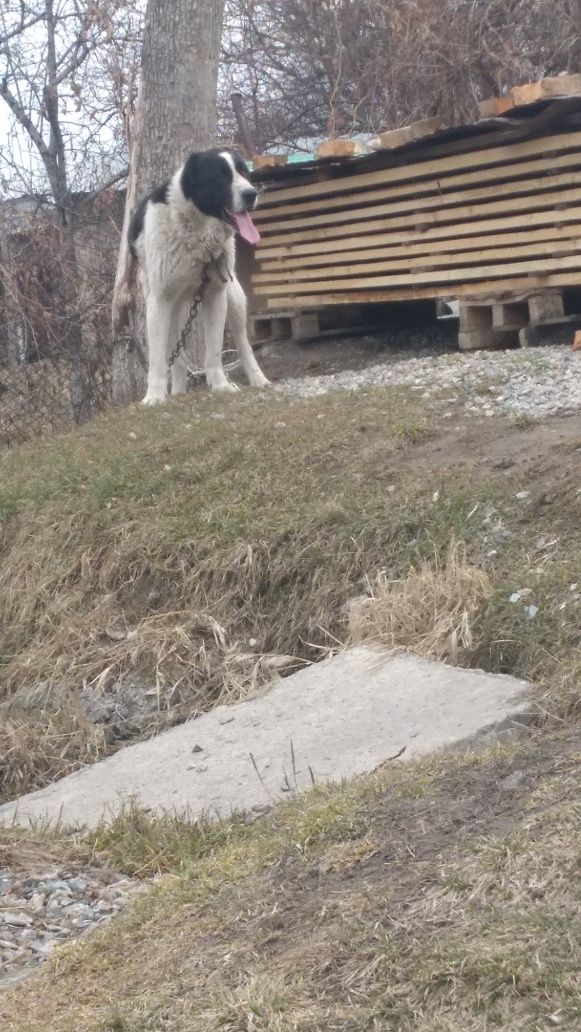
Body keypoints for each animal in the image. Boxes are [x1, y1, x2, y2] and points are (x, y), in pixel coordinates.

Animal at [127, 148, 268, 402]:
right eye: (220, 176)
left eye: (244, 172)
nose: (251, 194)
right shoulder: (159, 300)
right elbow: (158, 359)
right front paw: (154, 396)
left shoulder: (215, 295)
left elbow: (213, 351)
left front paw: (220, 385)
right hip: (171, 307)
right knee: (177, 357)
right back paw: (178, 392)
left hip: (234, 298)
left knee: (243, 342)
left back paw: (258, 378)